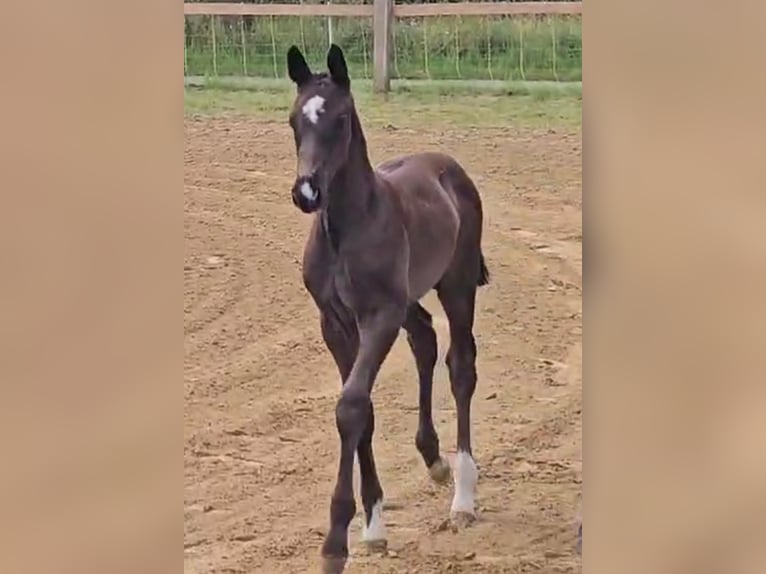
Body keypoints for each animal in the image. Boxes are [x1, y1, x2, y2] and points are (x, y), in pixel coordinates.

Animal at [288, 42, 492, 572]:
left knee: (460, 366)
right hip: (409, 300)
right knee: (424, 340)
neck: (346, 228)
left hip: (456, 285)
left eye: (340, 118)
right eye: (294, 119)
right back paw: (434, 460)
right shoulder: (335, 324)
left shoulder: (377, 318)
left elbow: (351, 405)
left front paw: (335, 544)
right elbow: (362, 410)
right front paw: (373, 527)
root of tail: (447, 165)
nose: (306, 192)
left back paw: (463, 496)